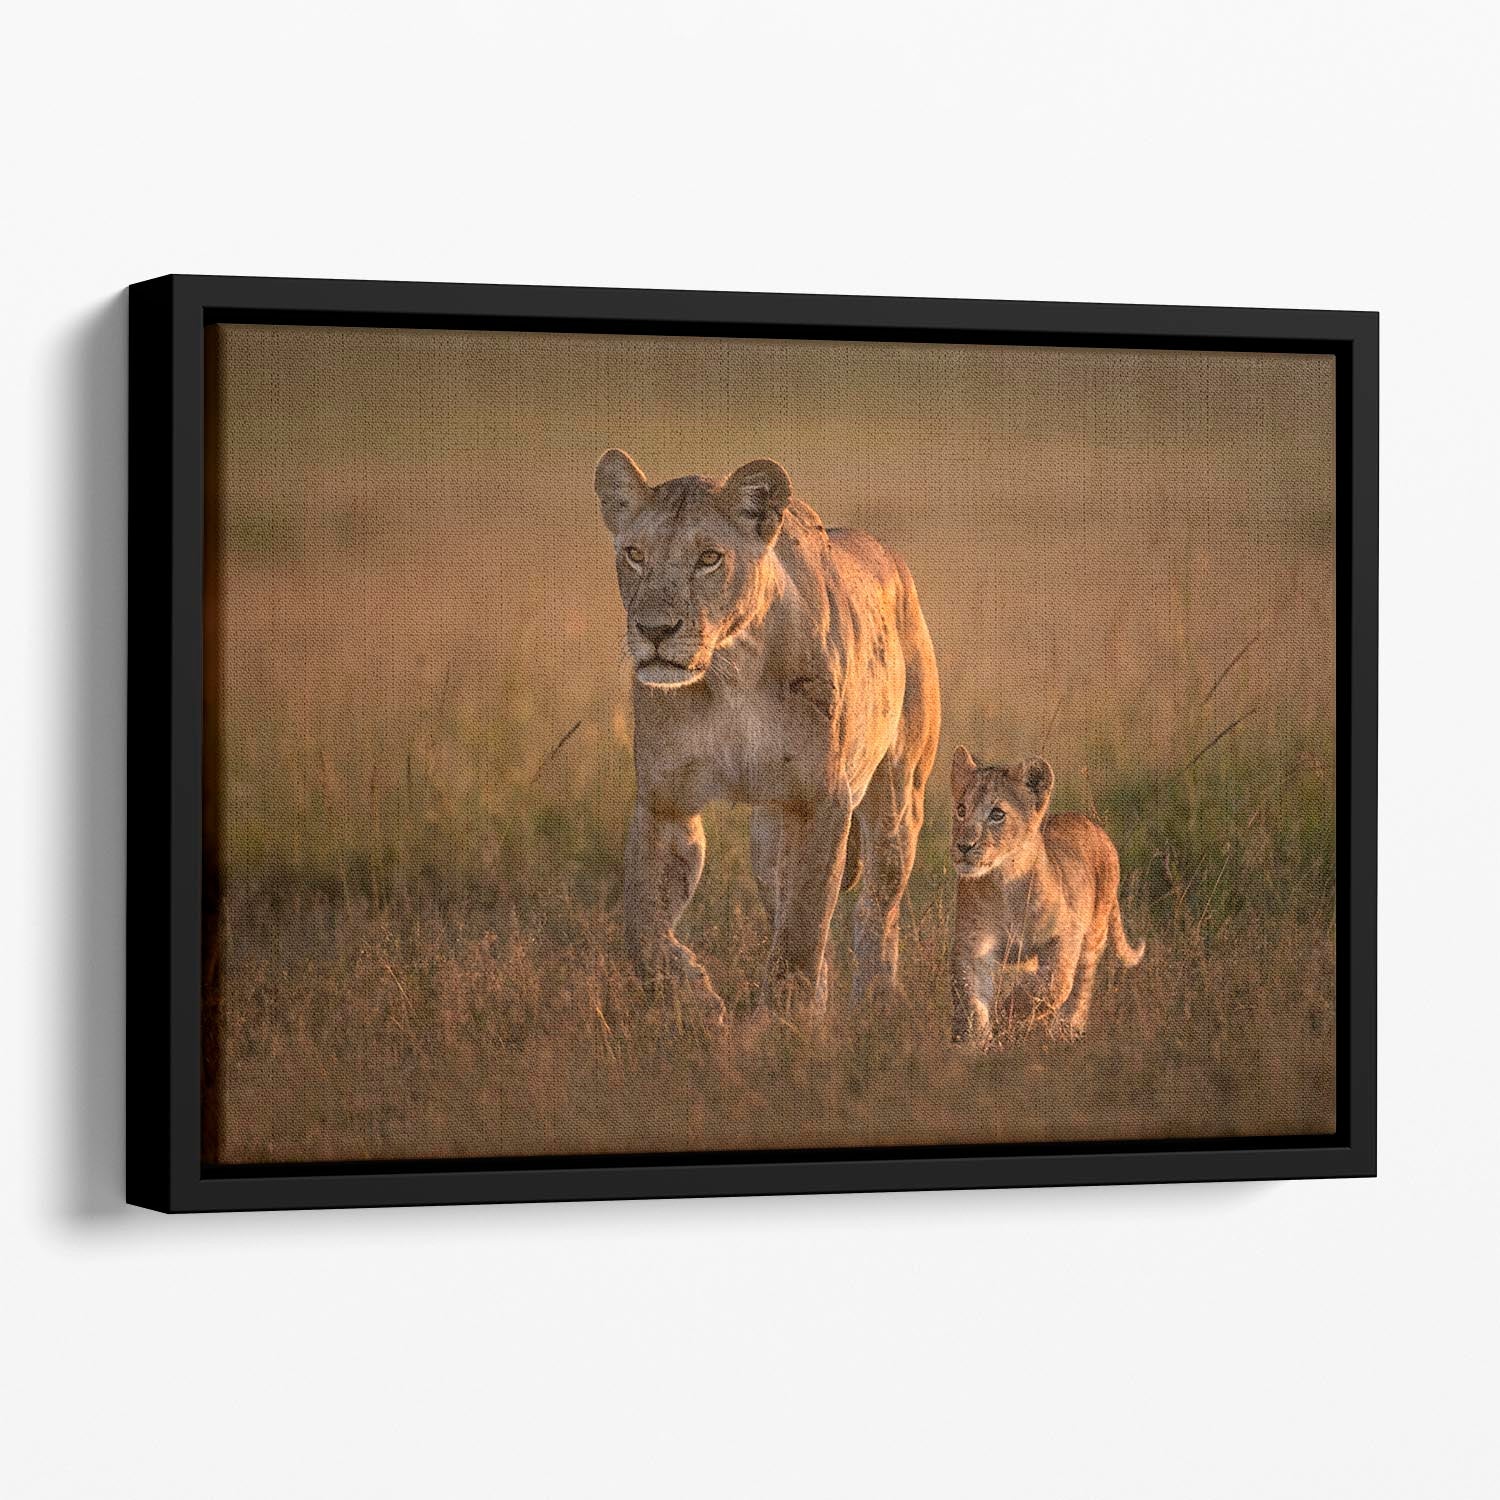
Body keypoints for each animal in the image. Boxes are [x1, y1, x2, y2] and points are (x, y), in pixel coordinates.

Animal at [596, 447, 941, 1017]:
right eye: (635, 555)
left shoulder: (820, 800)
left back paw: (875, 1004)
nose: (654, 630)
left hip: (898, 794)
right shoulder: (665, 801)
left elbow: (803, 927)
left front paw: (783, 1022)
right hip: (768, 831)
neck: (732, 669)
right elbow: (643, 930)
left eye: (709, 558)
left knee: (877, 911)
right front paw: (696, 999)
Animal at [949, 748, 1144, 1045]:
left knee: (1081, 987)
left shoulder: (1066, 934)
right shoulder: (973, 944)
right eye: (961, 810)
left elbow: (1056, 984)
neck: (1006, 882)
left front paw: (1008, 1011)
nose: (964, 846)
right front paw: (973, 1041)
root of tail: (1090, 824)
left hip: (1094, 933)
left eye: (997, 814)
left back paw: (1066, 1030)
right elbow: (971, 1000)